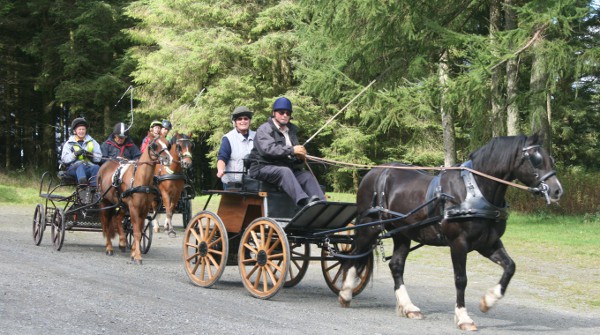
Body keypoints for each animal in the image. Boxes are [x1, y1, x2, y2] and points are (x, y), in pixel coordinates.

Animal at [96, 136, 171, 266]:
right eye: (155, 145)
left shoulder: (144, 209)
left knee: (117, 219)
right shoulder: (134, 207)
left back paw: (122, 242)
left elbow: (139, 231)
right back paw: (109, 248)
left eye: (168, 144)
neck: (140, 178)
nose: (168, 158)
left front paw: (133, 253)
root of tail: (104, 166)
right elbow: (136, 232)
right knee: (107, 223)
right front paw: (138, 257)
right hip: (106, 202)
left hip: (122, 204)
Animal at [340, 134, 564, 330]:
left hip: (402, 233)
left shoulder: (488, 243)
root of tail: (374, 172)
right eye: (535, 159)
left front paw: (488, 301)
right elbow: (461, 279)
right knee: (354, 256)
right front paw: (464, 318)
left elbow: (510, 267)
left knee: (395, 265)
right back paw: (345, 293)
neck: (476, 191)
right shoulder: (458, 243)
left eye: (551, 159)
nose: (557, 191)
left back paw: (408, 307)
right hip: (369, 226)